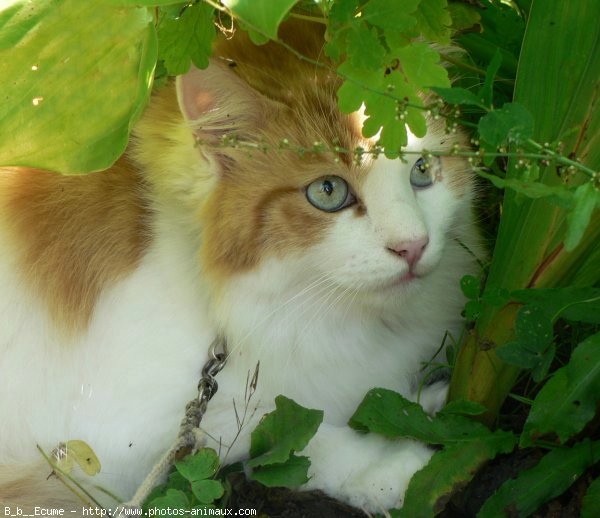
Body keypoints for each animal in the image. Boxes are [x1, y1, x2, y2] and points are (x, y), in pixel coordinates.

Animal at [0, 25, 478, 516]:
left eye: (422, 170)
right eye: (328, 191)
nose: (413, 245)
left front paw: (426, 406)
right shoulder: (100, 445)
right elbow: (282, 426)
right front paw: (388, 466)